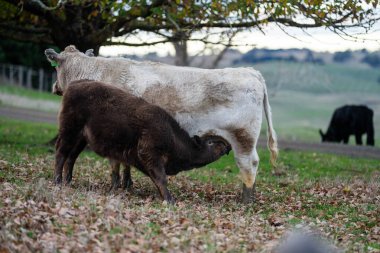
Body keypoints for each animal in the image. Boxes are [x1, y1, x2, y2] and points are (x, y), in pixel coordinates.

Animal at [46, 45, 278, 203]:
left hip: (243, 138)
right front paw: (127, 185)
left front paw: (116, 187)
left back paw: (246, 199)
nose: (54, 87)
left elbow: (115, 164)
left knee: (249, 165)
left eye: (56, 67)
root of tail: (250, 72)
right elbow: (124, 162)